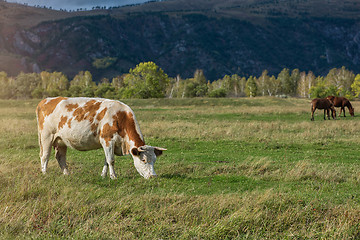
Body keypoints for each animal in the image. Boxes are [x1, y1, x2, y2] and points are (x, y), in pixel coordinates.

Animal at [36, 96, 166, 179]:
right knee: (45, 156)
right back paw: (45, 173)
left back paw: (66, 174)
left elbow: (106, 160)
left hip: (61, 140)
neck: (121, 117)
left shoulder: (108, 144)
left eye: (155, 160)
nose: (153, 176)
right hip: (46, 136)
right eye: (143, 160)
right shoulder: (107, 140)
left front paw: (104, 175)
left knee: (60, 157)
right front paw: (114, 177)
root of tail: (46, 100)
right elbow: (111, 160)